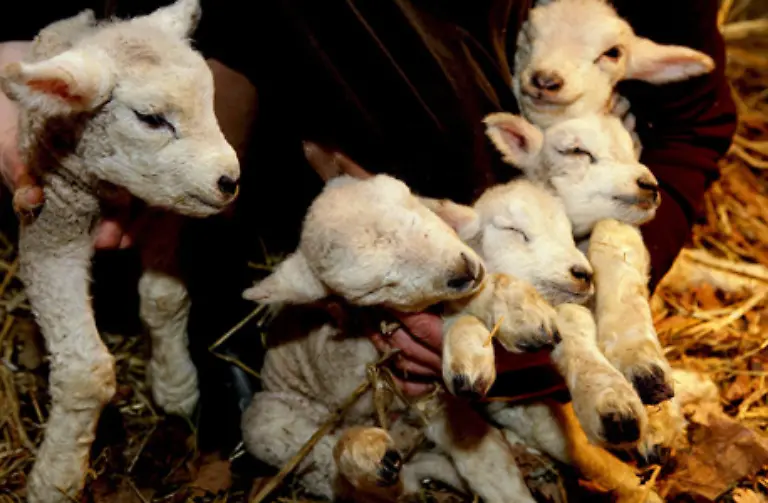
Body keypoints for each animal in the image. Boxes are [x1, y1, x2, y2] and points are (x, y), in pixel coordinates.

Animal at [0, 1, 240, 501]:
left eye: (209, 101)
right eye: (151, 119)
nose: (228, 181)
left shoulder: (162, 210)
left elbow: (166, 300)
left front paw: (176, 387)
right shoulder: (50, 228)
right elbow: (88, 372)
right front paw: (57, 479)